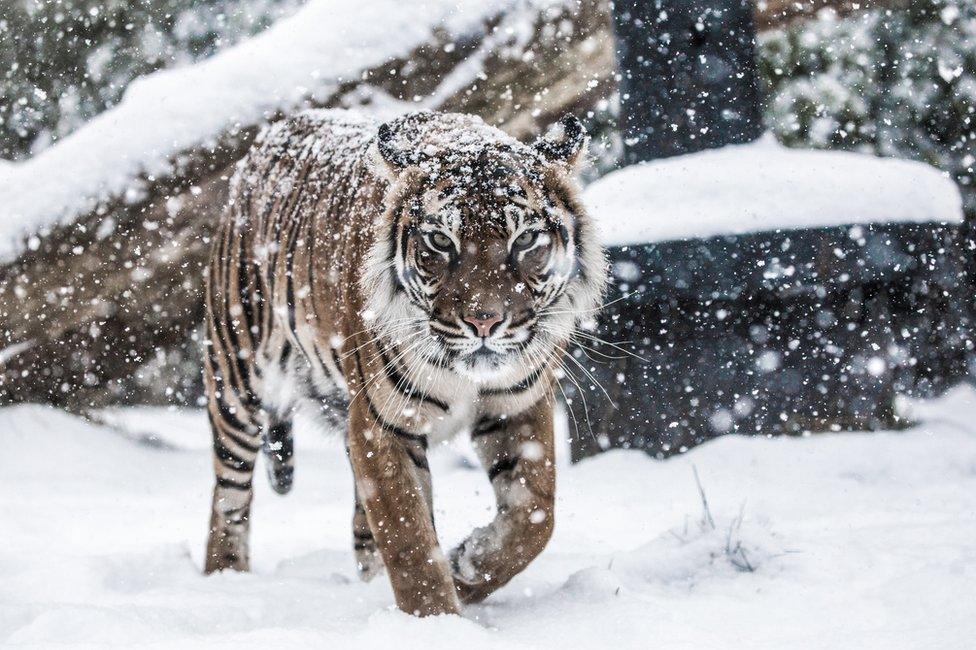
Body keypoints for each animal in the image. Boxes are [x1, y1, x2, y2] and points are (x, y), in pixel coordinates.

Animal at [203, 107, 608, 612]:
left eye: (525, 240)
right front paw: (436, 617)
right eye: (440, 241)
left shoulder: (518, 405)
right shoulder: (382, 424)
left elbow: (534, 514)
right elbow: (409, 539)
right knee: (229, 494)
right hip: (237, 375)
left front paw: (468, 566)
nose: (484, 321)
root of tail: (274, 132)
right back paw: (223, 579)